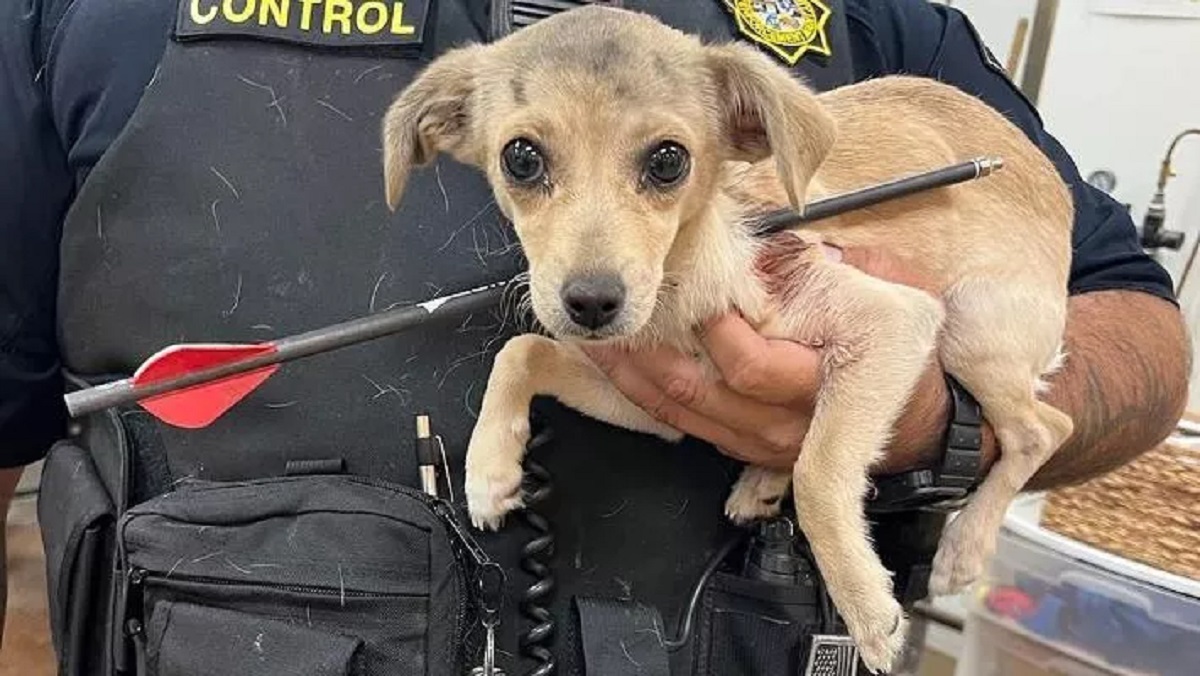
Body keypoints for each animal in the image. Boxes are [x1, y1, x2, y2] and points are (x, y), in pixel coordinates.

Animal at [379, 5, 1075, 672]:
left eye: (668, 161)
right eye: (520, 158)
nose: (592, 303)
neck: (681, 291)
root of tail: (1046, 173)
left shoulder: (892, 320)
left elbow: (821, 472)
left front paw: (868, 609)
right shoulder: (654, 402)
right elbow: (522, 351)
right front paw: (489, 470)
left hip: (971, 327)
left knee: (1044, 428)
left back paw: (964, 548)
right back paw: (763, 478)